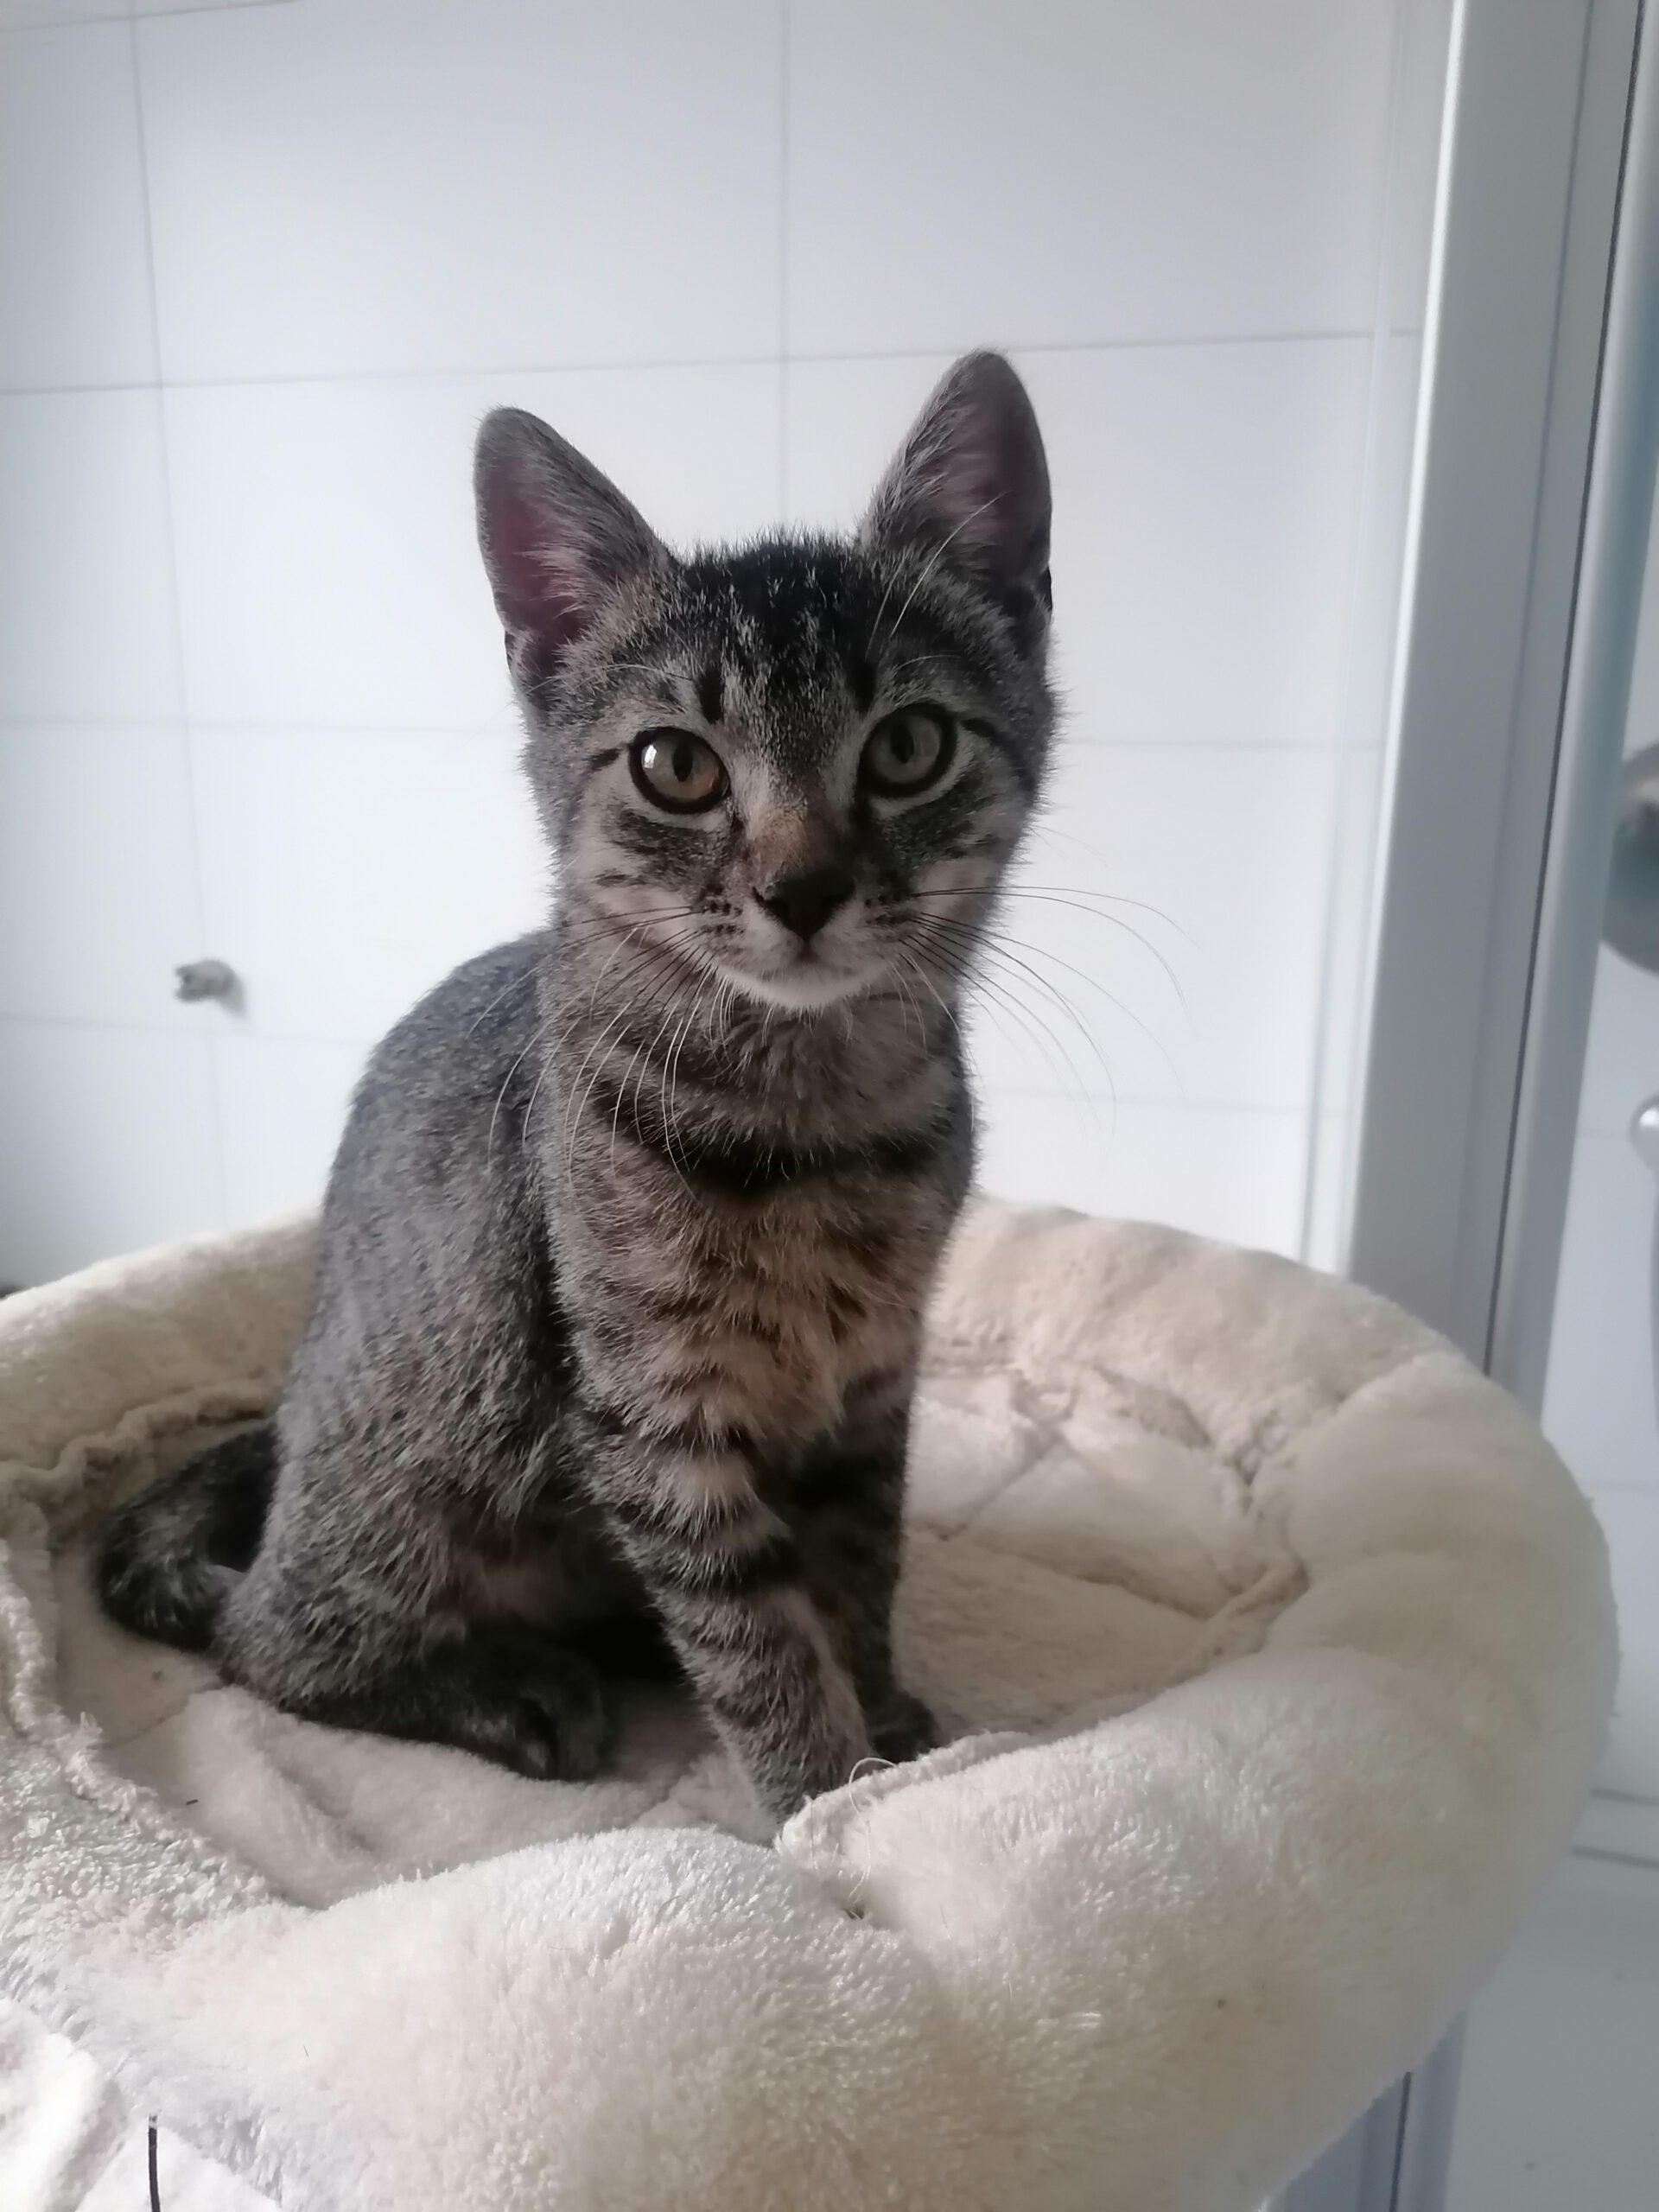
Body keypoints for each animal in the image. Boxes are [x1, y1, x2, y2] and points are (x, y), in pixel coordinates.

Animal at [96, 350, 1056, 1826]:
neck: (816, 1112)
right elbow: (755, 1630)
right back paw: (512, 1687)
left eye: (907, 749)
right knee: (269, 1640)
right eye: (678, 766)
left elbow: (854, 1574)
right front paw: (828, 1808)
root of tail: (290, 1422)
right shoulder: (651, 1407)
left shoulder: (872, 1385)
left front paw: (888, 1729)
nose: (802, 889)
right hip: (421, 1462)